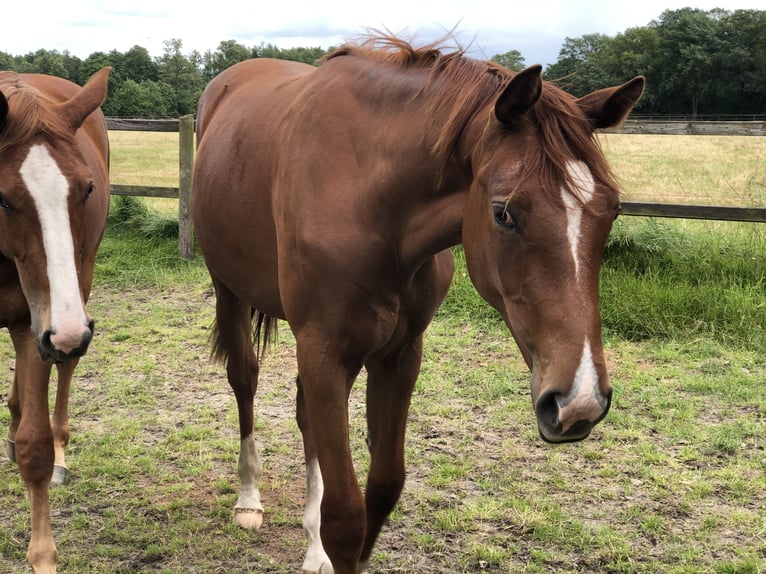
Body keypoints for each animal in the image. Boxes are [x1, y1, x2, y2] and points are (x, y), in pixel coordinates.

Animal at [195, 37, 644, 574]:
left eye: (612, 209)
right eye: (504, 213)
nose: (579, 401)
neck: (369, 198)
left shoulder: (398, 354)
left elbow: (382, 491)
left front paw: (325, 541)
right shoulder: (325, 350)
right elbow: (345, 516)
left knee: (305, 414)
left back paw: (311, 542)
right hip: (231, 293)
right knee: (244, 379)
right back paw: (248, 499)